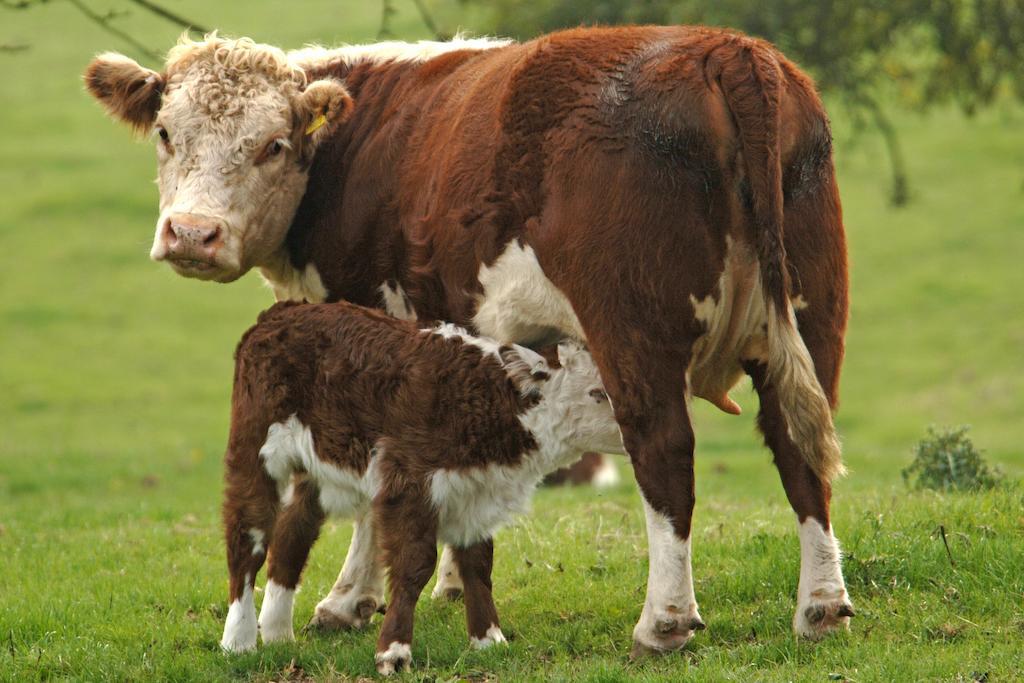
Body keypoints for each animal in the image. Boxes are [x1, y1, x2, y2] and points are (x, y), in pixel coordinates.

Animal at [223, 301, 618, 671]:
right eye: (597, 393)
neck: (488, 401)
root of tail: (280, 312)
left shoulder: (476, 491)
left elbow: (478, 565)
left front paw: (488, 639)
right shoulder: (408, 483)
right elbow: (415, 565)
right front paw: (394, 652)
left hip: (317, 466)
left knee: (293, 534)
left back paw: (277, 634)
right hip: (256, 447)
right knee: (248, 536)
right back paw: (239, 639)